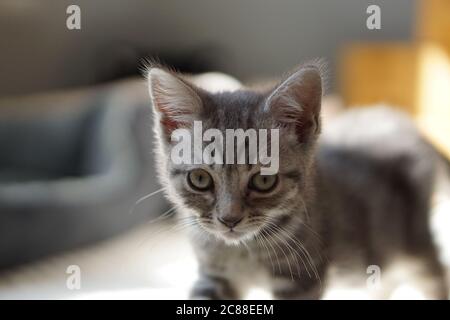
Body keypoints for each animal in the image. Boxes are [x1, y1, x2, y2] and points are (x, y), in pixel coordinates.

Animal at [146, 63, 448, 300]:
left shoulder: (301, 278)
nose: (229, 219)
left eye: (264, 180)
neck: (244, 250)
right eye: (199, 178)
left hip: (414, 241)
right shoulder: (216, 276)